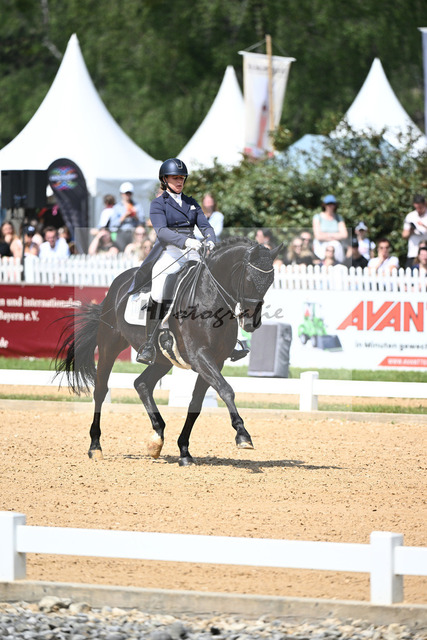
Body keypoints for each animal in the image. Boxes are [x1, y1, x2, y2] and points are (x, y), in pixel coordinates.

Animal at [54, 237, 282, 466]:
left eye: (270, 282)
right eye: (250, 280)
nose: (252, 323)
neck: (209, 296)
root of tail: (119, 283)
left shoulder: (216, 361)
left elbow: (196, 403)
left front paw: (184, 451)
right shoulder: (200, 356)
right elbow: (226, 390)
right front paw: (243, 435)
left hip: (162, 360)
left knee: (142, 384)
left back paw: (157, 438)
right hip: (109, 345)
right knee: (101, 390)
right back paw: (95, 447)